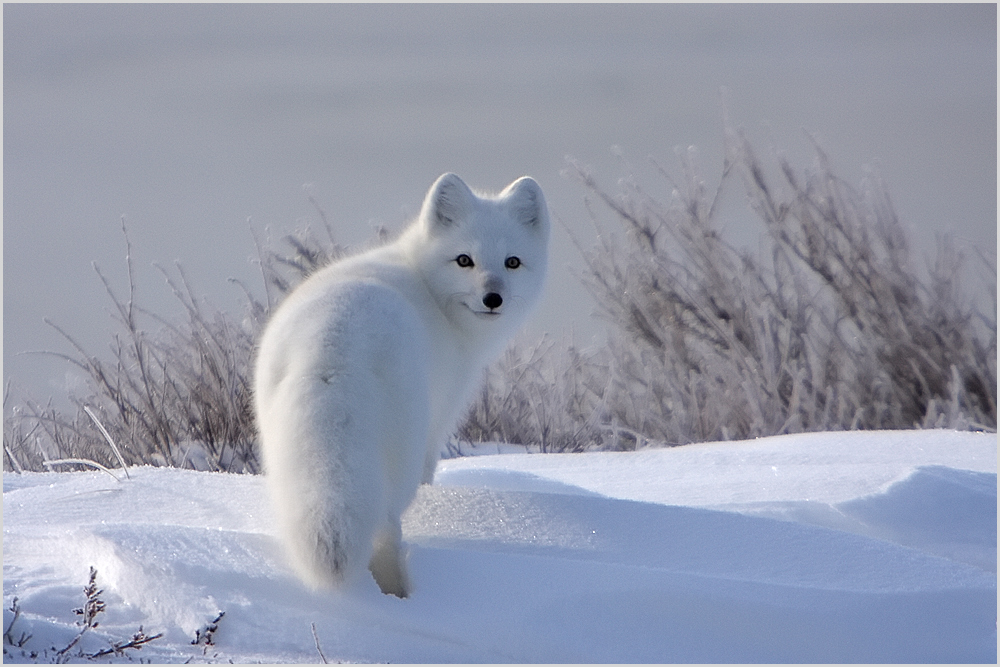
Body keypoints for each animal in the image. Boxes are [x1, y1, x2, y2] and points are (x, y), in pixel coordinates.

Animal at [250, 175, 548, 596]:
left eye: (513, 262)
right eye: (464, 260)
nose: (493, 298)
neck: (426, 284)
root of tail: (331, 347)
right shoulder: (440, 416)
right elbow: (430, 472)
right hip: (404, 447)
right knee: (388, 524)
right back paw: (397, 590)